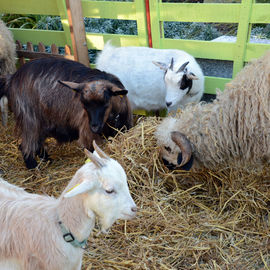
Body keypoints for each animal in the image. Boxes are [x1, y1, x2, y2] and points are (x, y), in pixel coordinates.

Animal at [0, 57, 132, 169]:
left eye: (105, 103)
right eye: (84, 105)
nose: (94, 127)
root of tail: (12, 78)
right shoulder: (86, 132)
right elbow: (91, 149)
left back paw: (47, 159)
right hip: (29, 118)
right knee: (26, 144)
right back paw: (32, 165)